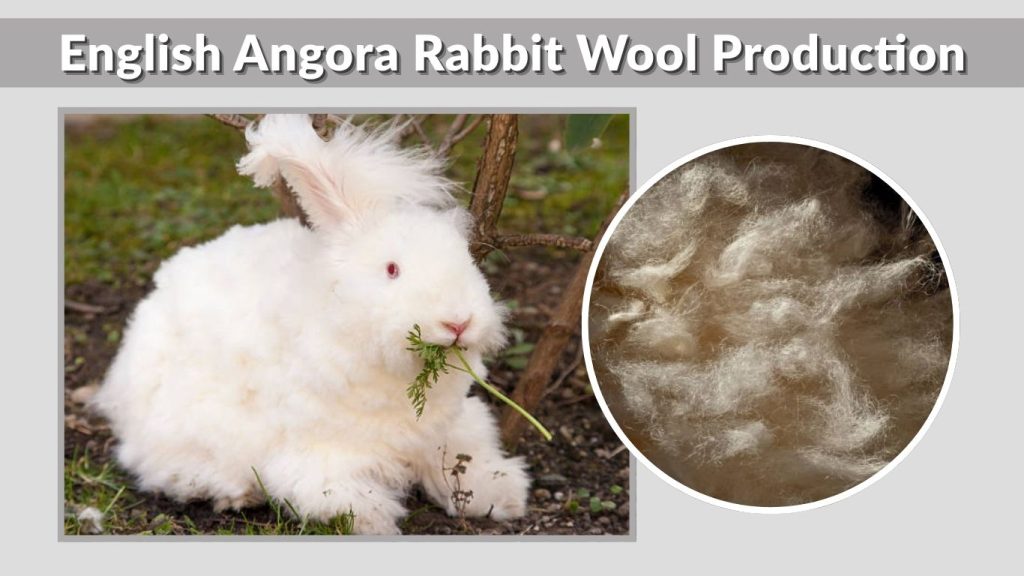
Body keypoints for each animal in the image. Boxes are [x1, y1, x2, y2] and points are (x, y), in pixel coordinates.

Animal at [91, 114, 531, 535]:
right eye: (392, 269)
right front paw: (372, 520)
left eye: (467, 261)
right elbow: (334, 492)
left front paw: (504, 497)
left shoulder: (447, 432)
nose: (458, 322)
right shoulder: (322, 453)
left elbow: (466, 461)